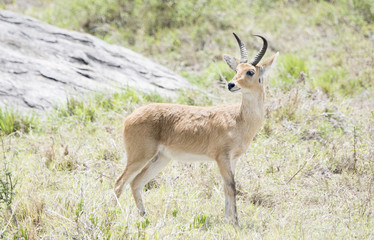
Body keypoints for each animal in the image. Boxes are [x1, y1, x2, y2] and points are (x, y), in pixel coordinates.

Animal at [114, 32, 278, 224]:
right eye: (236, 70)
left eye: (250, 71)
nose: (231, 84)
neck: (238, 119)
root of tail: (130, 117)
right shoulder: (222, 157)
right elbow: (232, 187)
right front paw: (236, 223)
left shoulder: (233, 159)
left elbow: (226, 187)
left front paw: (227, 220)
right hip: (139, 157)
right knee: (119, 183)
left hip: (160, 158)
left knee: (136, 183)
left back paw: (144, 216)